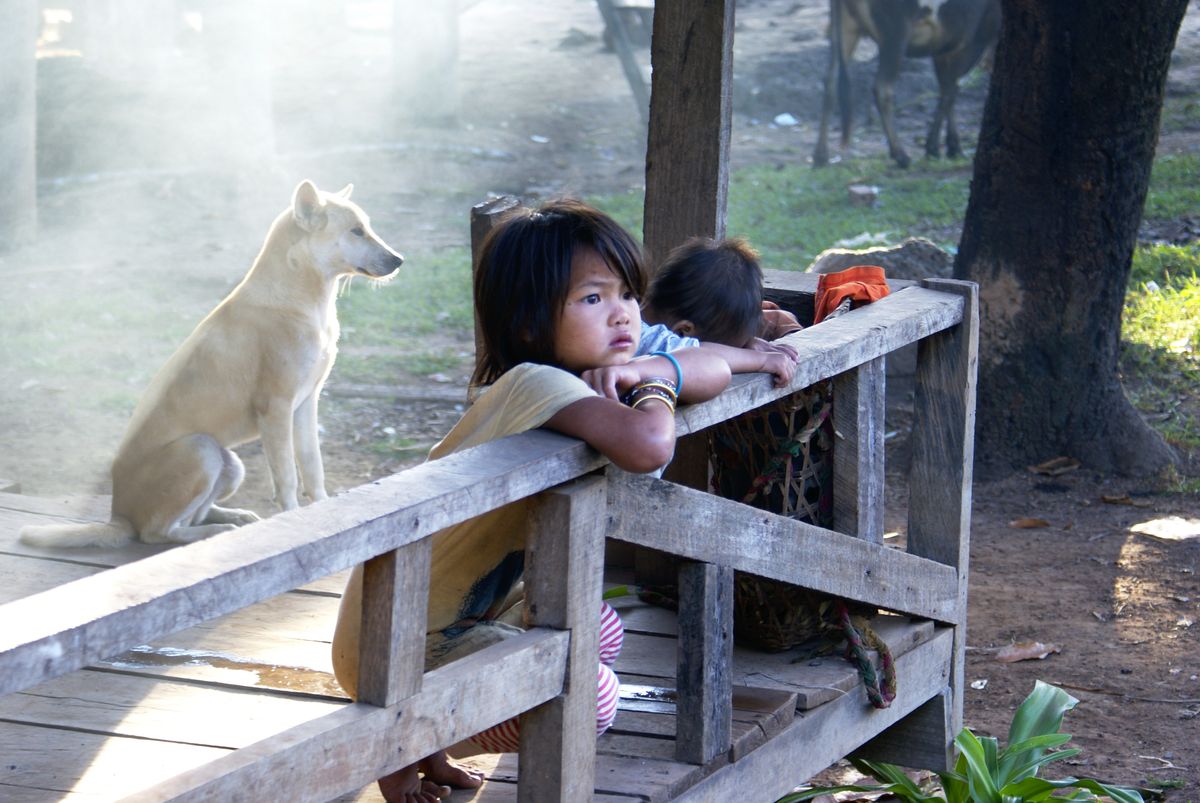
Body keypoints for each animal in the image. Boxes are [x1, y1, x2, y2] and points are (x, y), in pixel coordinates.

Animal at [19, 178, 403, 547]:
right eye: (356, 231)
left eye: (366, 227)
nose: (399, 260)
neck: (303, 297)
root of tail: (119, 515)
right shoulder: (276, 409)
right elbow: (288, 477)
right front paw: (292, 520)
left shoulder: (307, 403)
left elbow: (313, 466)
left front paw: (324, 509)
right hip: (201, 449)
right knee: (159, 531)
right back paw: (214, 531)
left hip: (230, 463)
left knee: (192, 517)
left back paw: (232, 517)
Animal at [816, 0, 1003, 168]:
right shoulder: (973, 41)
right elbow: (951, 90)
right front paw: (934, 148)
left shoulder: (943, 49)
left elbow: (948, 89)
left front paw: (951, 147)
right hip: (895, 35)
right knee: (882, 88)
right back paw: (900, 155)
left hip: (845, 29)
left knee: (830, 81)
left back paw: (821, 156)